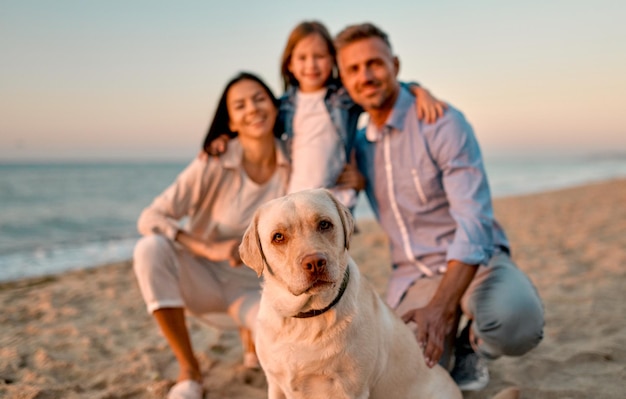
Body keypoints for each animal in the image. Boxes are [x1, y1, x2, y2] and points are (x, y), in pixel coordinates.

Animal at [239, 190, 464, 399]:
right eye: (278, 237)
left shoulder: (350, 389)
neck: (306, 316)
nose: (315, 263)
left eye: (324, 224)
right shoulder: (275, 385)